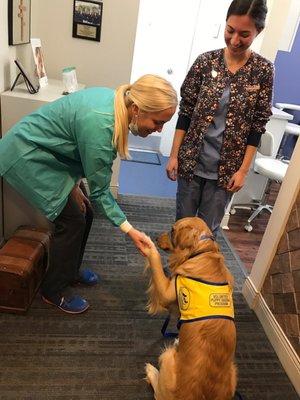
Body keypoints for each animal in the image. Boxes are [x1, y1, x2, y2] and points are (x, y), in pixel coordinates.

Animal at [143, 217, 237, 398]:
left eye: (173, 230)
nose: (156, 238)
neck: (202, 251)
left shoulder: (167, 292)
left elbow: (156, 264)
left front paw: (149, 248)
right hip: (233, 372)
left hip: (167, 357)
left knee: (158, 393)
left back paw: (151, 371)